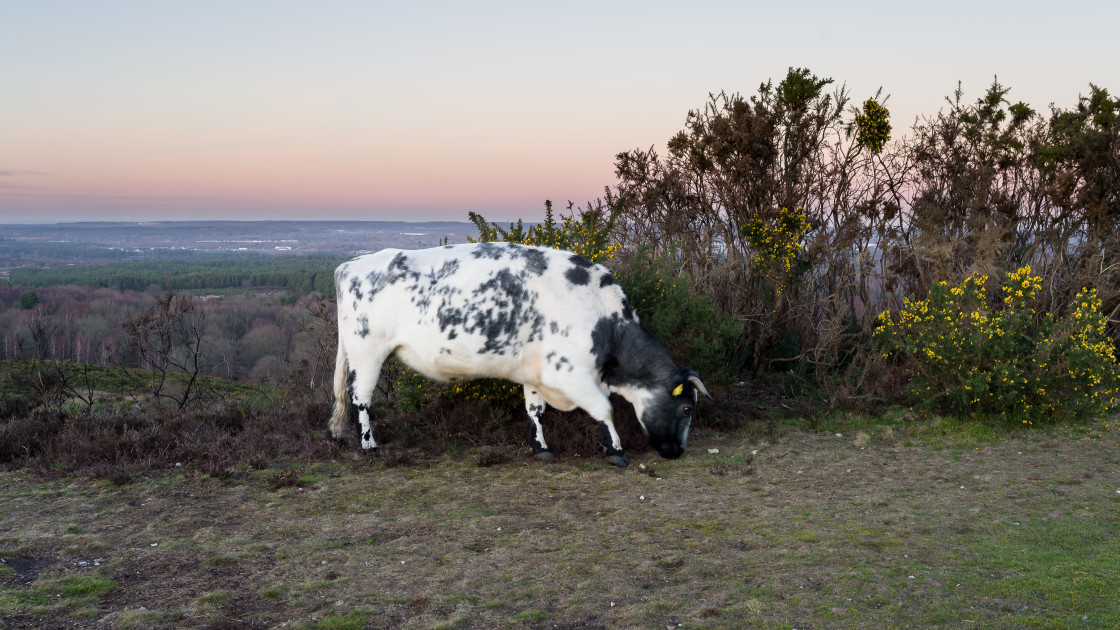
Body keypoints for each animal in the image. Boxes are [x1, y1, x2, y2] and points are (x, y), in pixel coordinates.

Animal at [327, 239, 707, 466]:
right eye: (687, 407)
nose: (678, 452)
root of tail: (351, 265)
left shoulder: (536, 372)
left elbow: (535, 410)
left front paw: (541, 448)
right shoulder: (567, 371)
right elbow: (605, 409)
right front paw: (616, 451)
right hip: (367, 352)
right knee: (360, 397)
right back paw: (369, 445)